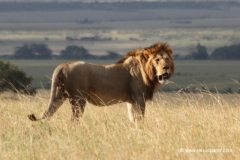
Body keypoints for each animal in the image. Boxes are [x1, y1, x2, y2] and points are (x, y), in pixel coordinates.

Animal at [28, 42, 174, 124]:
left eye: (166, 59)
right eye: (157, 60)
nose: (166, 67)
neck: (148, 71)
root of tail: (63, 65)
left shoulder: (131, 101)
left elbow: (133, 118)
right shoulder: (139, 98)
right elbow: (140, 118)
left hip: (59, 95)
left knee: (49, 113)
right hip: (78, 98)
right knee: (74, 119)